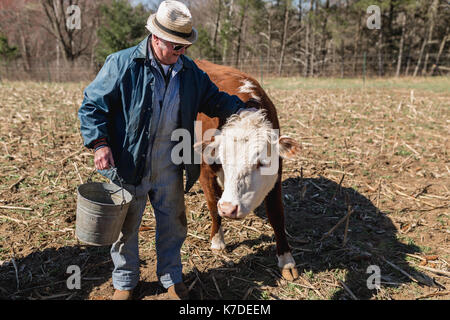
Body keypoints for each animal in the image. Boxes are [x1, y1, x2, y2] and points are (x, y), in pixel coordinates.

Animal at [195, 60, 300, 280]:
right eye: (222, 160)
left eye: (262, 162)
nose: (229, 208)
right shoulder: (204, 171)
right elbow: (213, 205)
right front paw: (217, 240)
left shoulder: (276, 176)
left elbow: (277, 214)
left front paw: (286, 259)